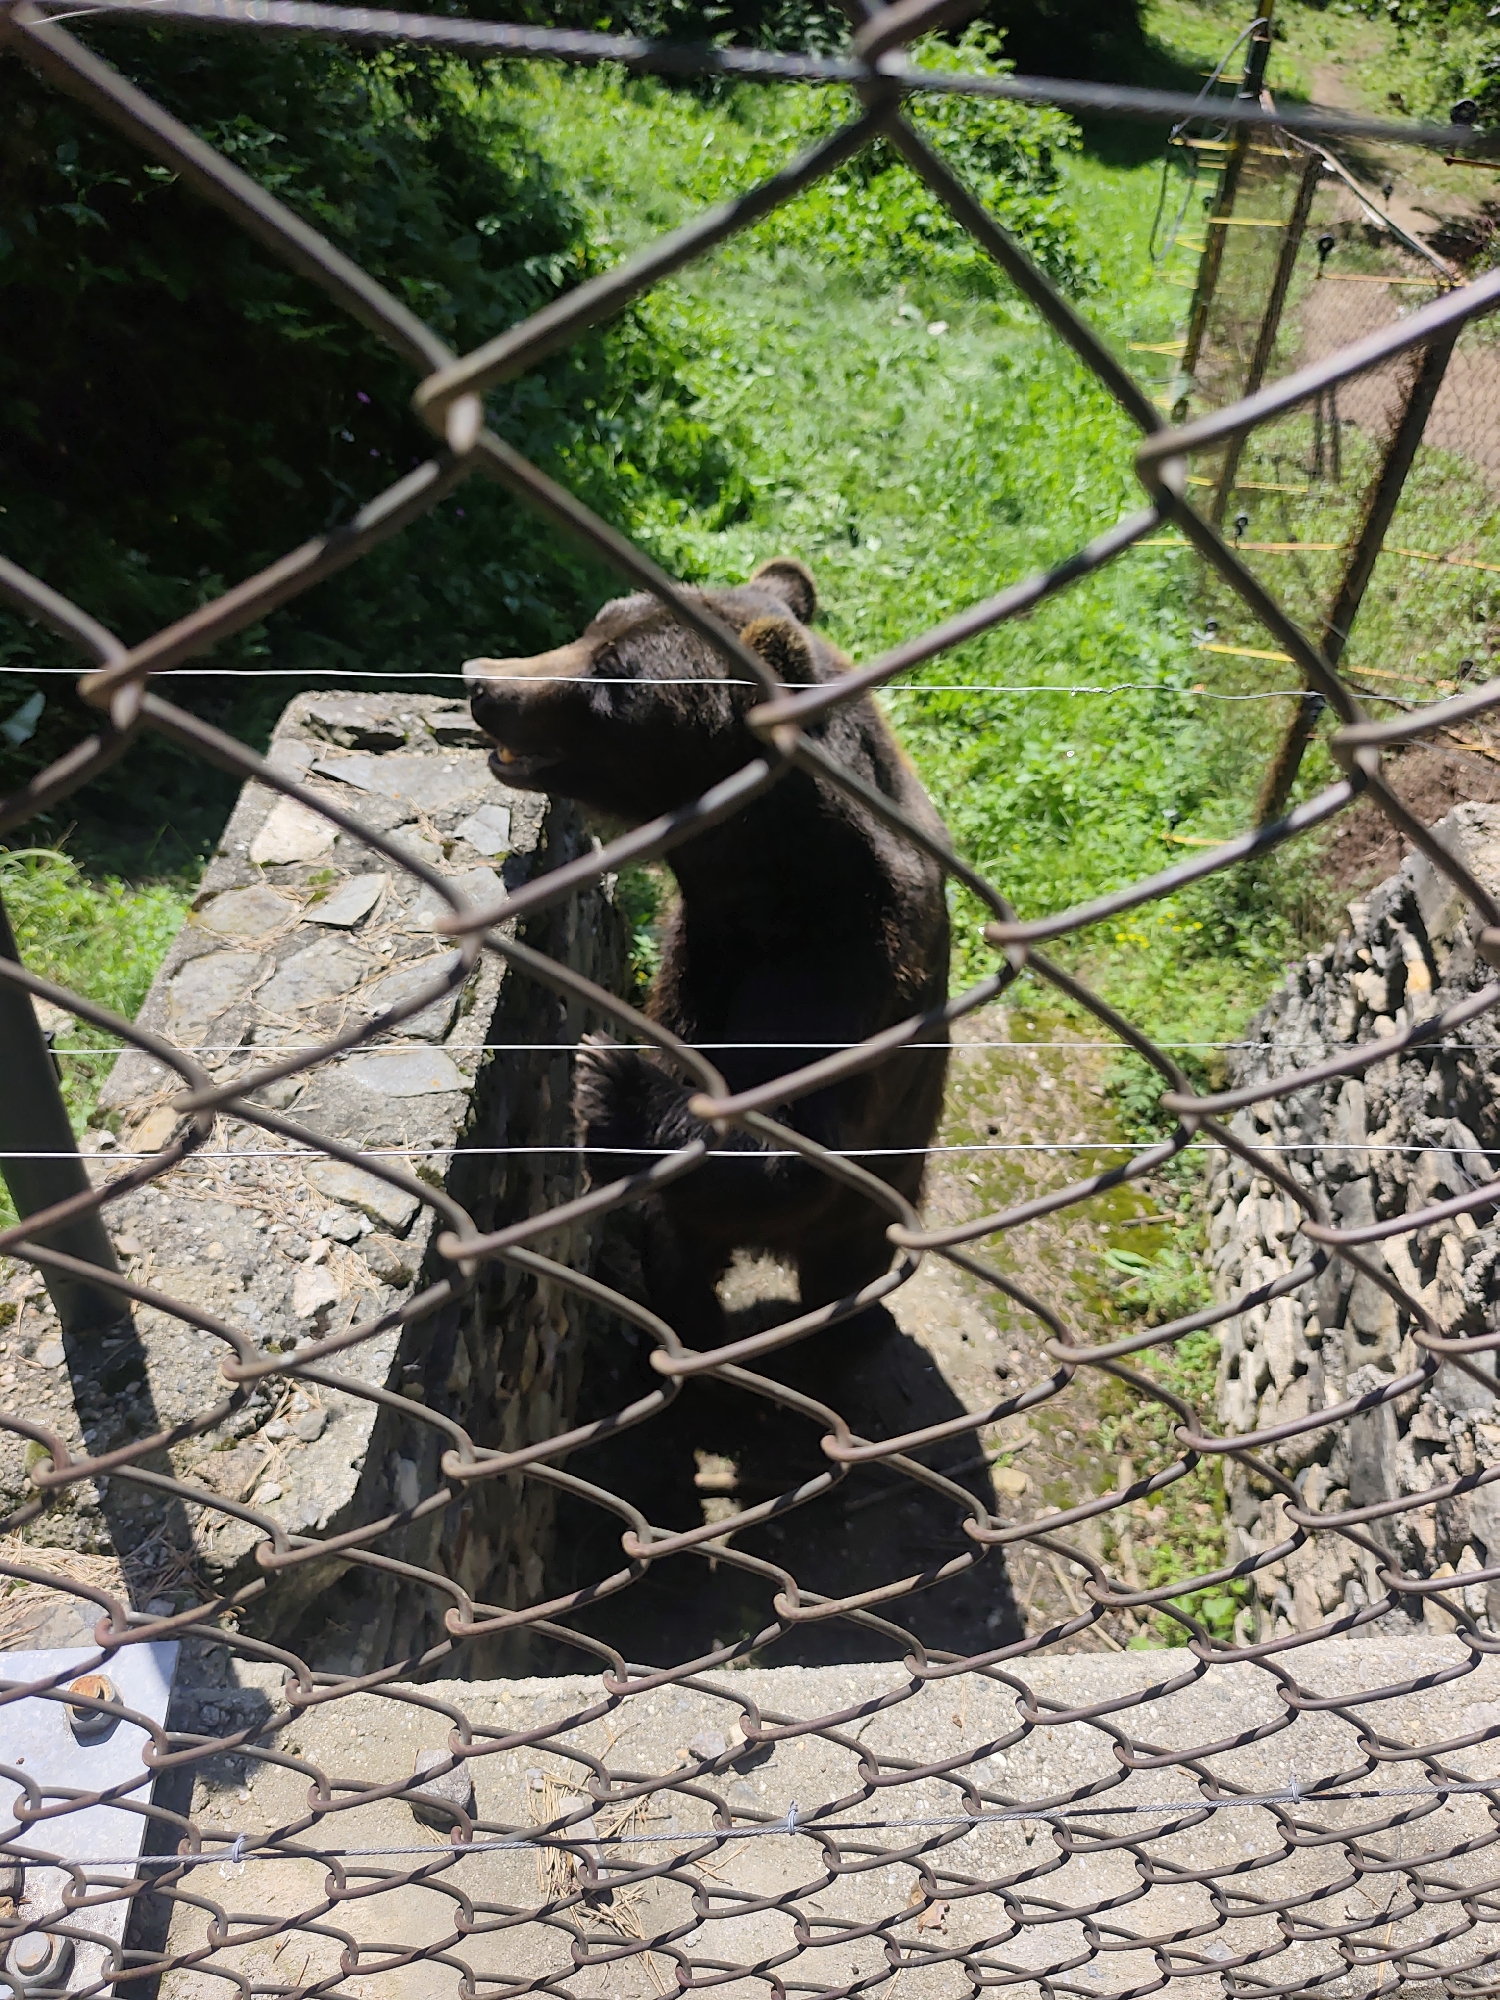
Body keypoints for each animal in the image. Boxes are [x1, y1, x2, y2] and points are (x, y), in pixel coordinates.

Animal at [464, 558, 950, 1352]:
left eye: (611, 678)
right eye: (593, 625)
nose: (483, 682)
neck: (768, 883)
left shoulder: (857, 972)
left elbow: (800, 1147)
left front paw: (611, 1077)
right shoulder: (701, 948)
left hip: (892, 1185)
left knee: (845, 1266)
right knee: (680, 1250)